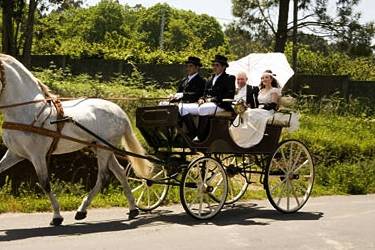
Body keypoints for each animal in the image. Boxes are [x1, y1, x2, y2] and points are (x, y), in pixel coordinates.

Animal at [0, 53, 153, 226]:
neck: (27, 110)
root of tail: (119, 111)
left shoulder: (37, 156)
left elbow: (45, 183)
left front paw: (57, 216)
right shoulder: (15, 154)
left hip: (103, 150)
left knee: (103, 177)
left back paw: (82, 210)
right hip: (101, 147)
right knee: (120, 172)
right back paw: (132, 208)